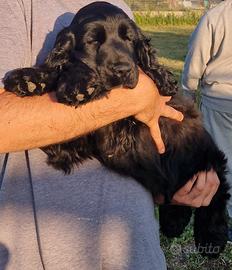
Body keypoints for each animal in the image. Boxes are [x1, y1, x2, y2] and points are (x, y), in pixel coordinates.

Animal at [3, 2, 230, 260]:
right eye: (92, 40)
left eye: (129, 39)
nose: (122, 70)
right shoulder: (70, 147)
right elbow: (67, 64)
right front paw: (30, 79)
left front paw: (73, 83)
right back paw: (174, 223)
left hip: (208, 157)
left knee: (217, 193)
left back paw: (211, 239)